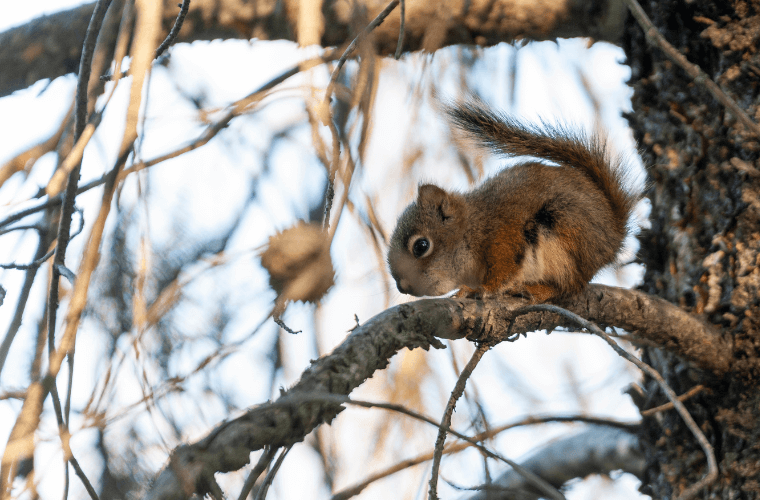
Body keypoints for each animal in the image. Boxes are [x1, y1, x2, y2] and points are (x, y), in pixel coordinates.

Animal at [387, 100, 640, 302]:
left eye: (421, 246)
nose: (402, 286)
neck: (474, 227)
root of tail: (613, 235)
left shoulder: (504, 239)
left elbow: (501, 274)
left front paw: (480, 290)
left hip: (565, 231)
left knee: (570, 286)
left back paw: (537, 290)